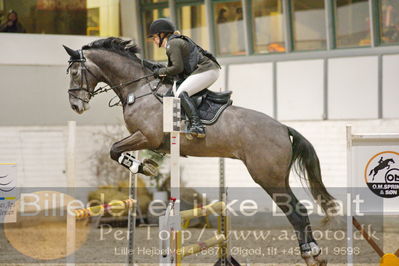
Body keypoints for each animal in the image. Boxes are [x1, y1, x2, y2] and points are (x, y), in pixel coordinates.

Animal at [65, 38, 334, 266]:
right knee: (299, 211)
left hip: (268, 177)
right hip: (278, 177)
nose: (76, 106)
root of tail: (283, 128)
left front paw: (139, 166)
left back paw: (310, 254)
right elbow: (127, 151)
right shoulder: (152, 141)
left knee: (295, 212)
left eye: (76, 73)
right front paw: (146, 165)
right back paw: (316, 254)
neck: (139, 88)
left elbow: (114, 150)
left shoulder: (147, 136)